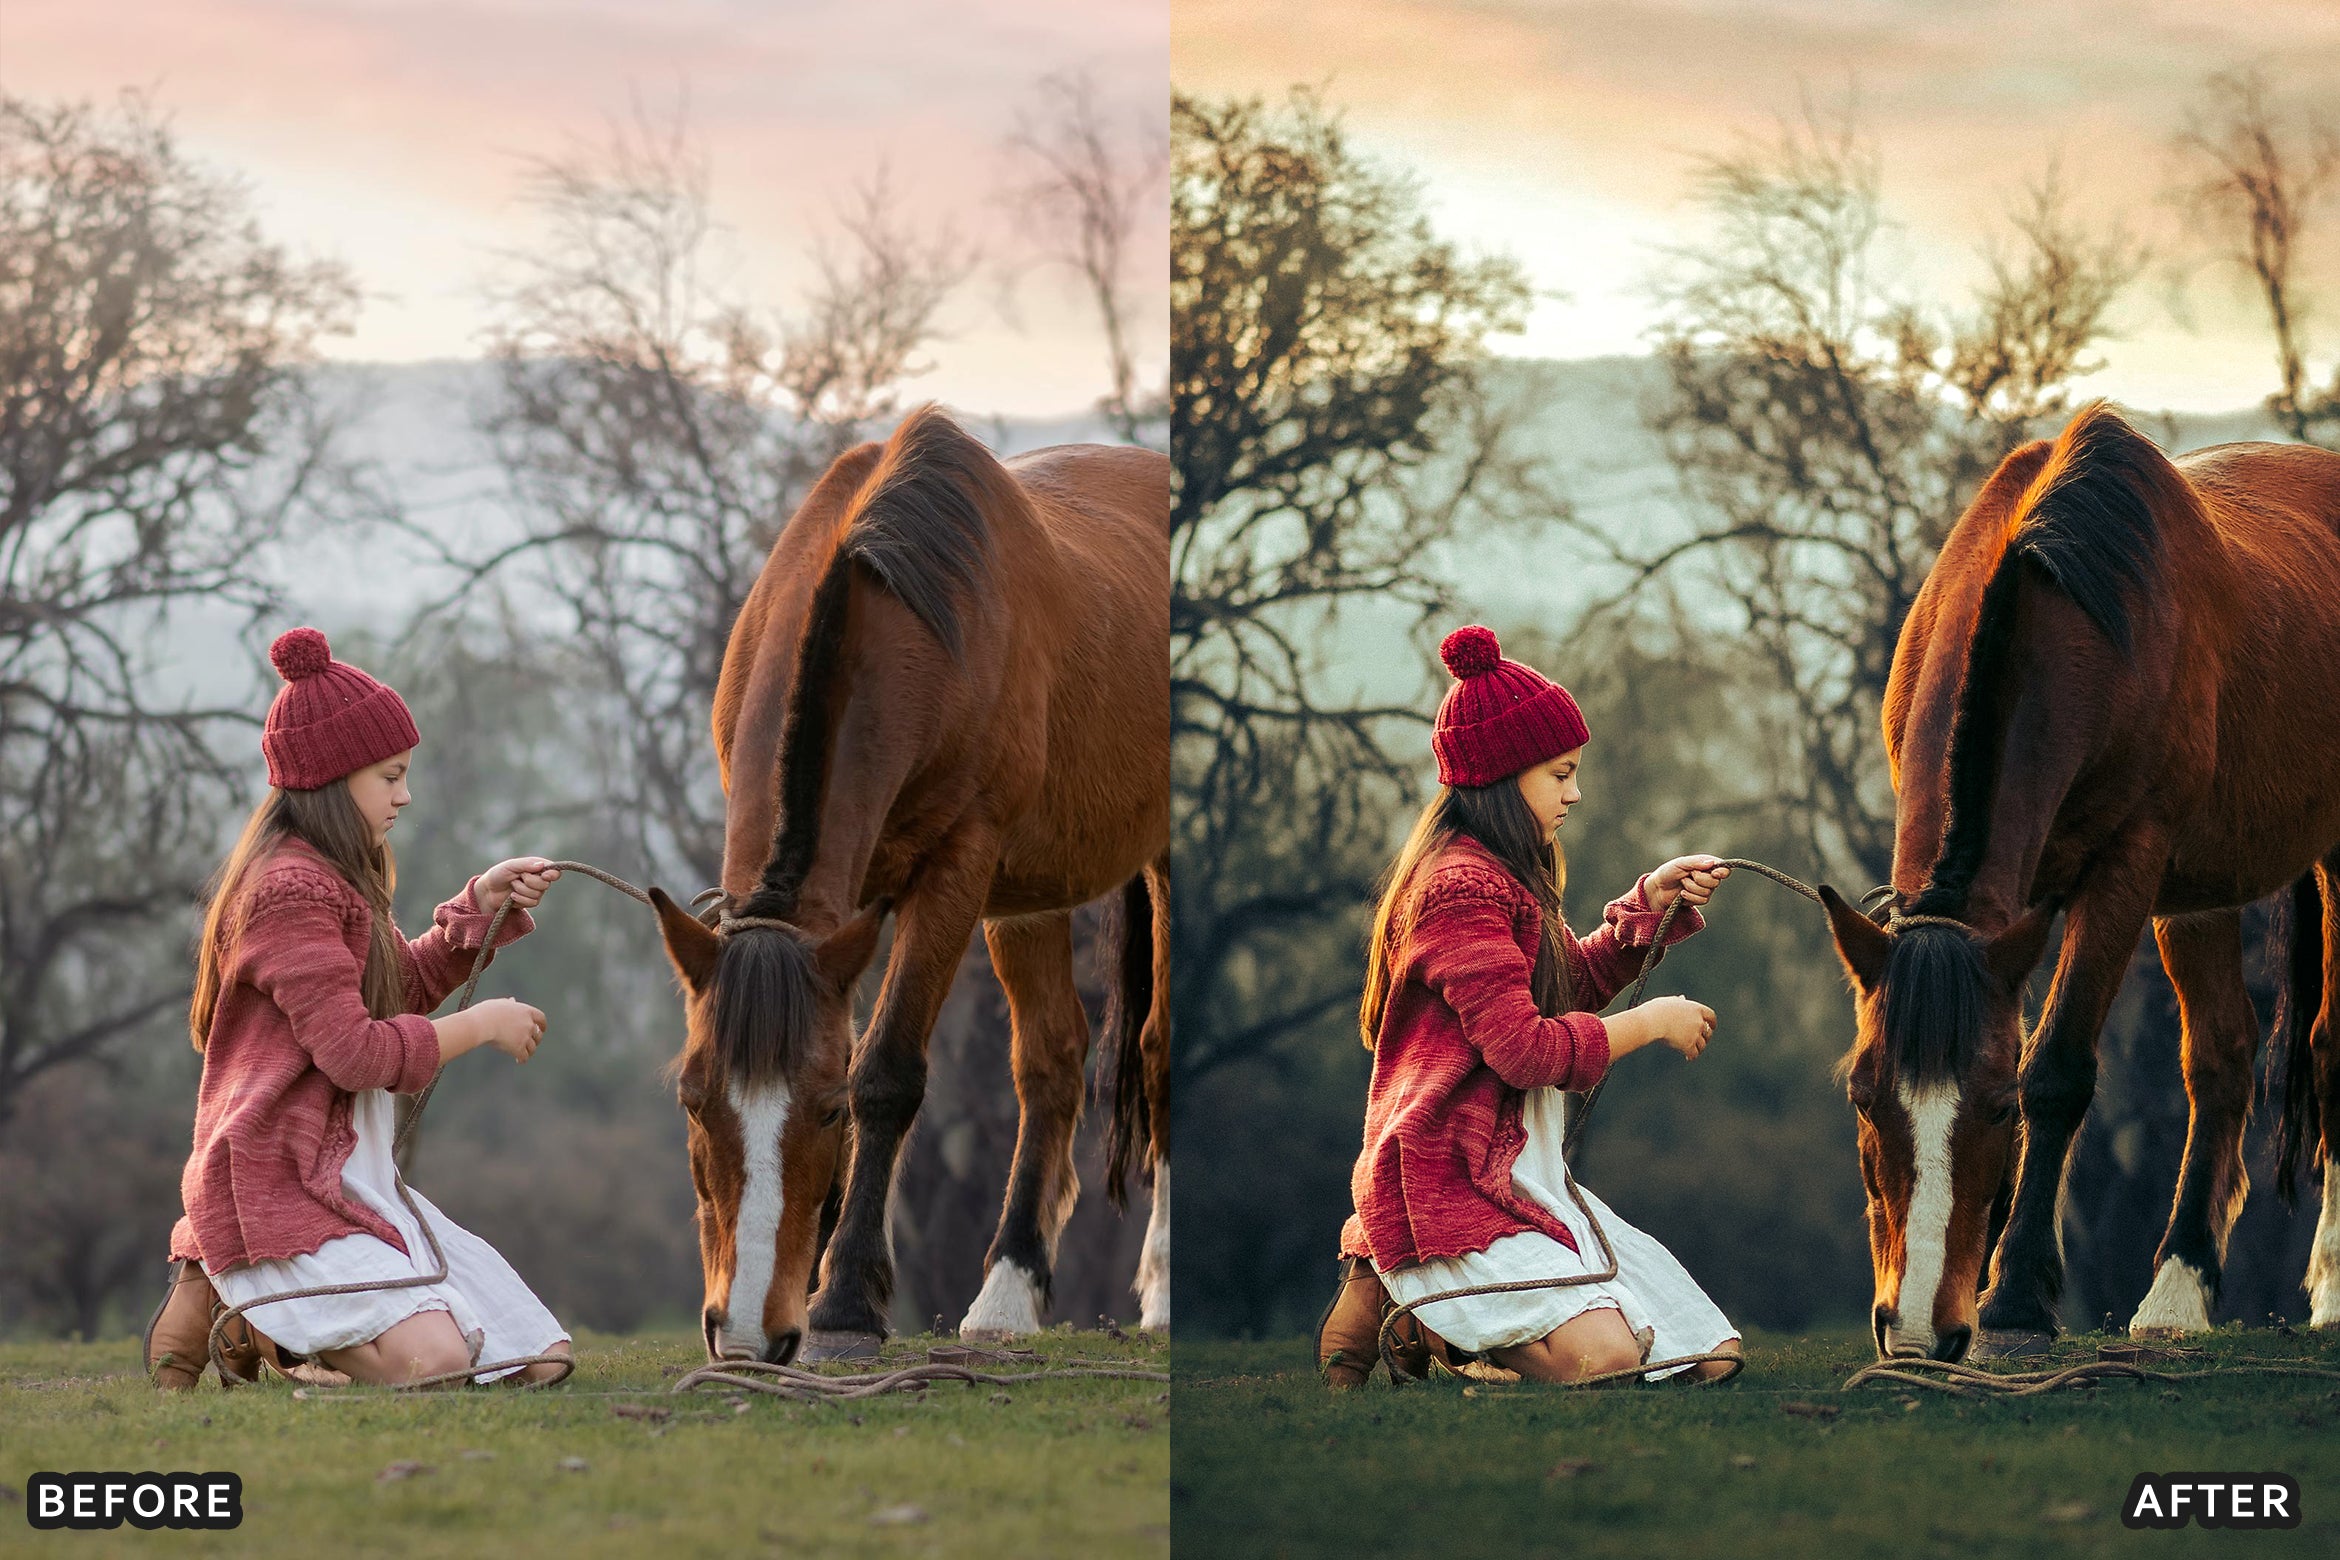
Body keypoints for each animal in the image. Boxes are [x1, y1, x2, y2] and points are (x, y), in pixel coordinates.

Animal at [644, 404, 1170, 1364]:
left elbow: (884, 1071)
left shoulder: (956, 870)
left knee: (1154, 1052)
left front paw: (844, 1301)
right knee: (1051, 1064)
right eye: (693, 1101)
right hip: (1024, 901)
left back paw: (1161, 1286)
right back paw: (1008, 1293)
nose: (747, 1335)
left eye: (824, 1113)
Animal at [1816, 401, 2340, 1362]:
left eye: (1996, 1109)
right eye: (1863, 1098)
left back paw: (2329, 1285)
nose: (1917, 1333)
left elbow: (2056, 1068)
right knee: (2222, 1059)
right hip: (2195, 898)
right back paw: (2179, 1290)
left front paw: (2016, 1296)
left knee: (2325, 1050)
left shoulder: (2124, 871)